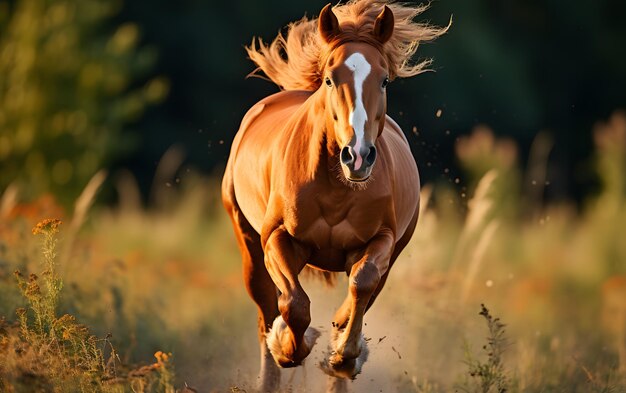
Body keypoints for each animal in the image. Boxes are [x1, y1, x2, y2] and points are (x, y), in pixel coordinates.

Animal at [222, 0, 446, 388]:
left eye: (384, 80)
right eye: (330, 79)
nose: (357, 155)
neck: (337, 188)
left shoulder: (382, 241)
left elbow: (361, 283)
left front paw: (343, 349)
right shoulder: (276, 238)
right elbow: (294, 306)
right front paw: (290, 347)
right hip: (248, 243)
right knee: (266, 311)